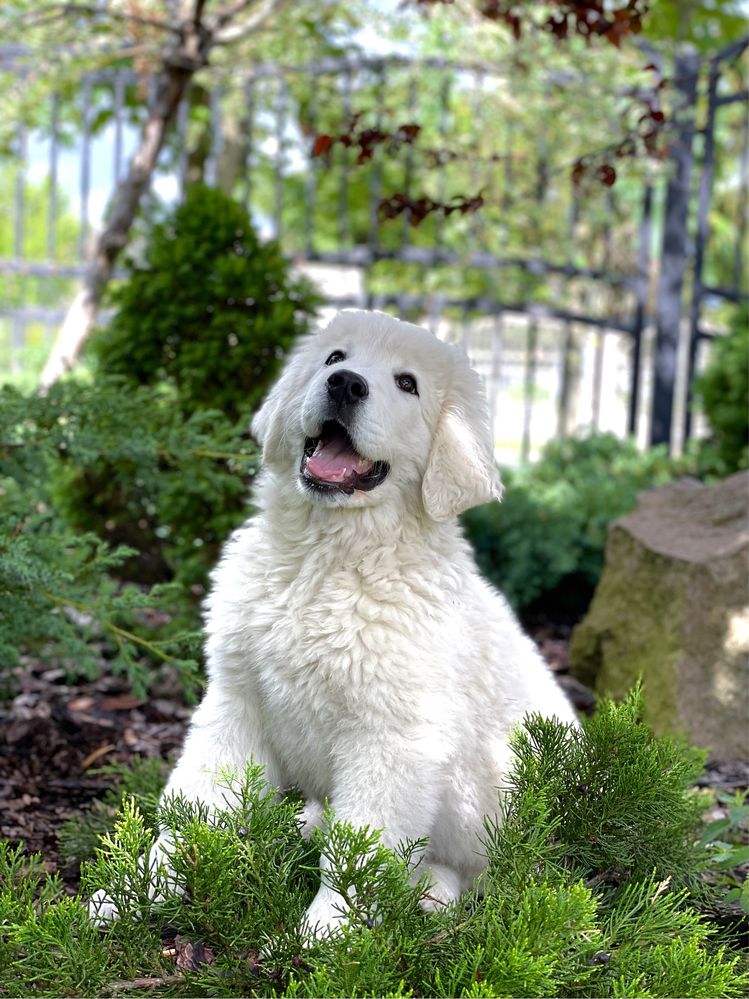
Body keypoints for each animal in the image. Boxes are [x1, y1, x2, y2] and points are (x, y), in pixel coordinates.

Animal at [90, 308, 576, 932]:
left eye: (408, 384)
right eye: (334, 357)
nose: (345, 384)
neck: (324, 559)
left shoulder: (394, 739)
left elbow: (357, 851)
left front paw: (324, 932)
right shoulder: (236, 701)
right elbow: (193, 803)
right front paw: (133, 892)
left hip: (485, 790)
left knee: (476, 873)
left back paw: (429, 892)